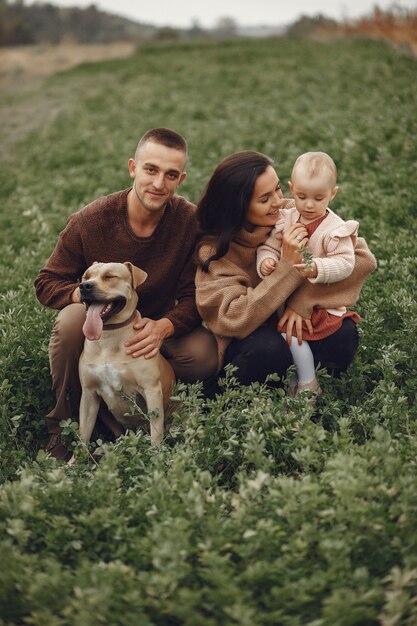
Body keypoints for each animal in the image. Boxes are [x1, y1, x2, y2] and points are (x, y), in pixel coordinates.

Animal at [75, 260, 173, 450]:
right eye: (85, 276)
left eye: (109, 276)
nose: (84, 286)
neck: (108, 338)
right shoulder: (88, 394)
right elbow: (83, 436)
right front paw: (76, 459)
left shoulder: (151, 390)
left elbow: (156, 434)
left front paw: (157, 455)